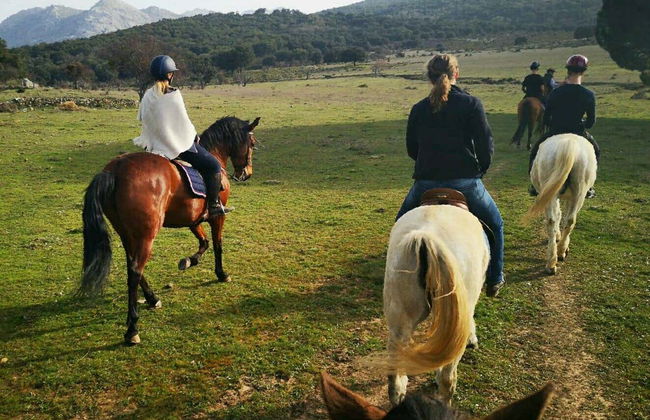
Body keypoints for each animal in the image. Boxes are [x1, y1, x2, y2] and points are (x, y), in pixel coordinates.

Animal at [80, 116, 260, 345]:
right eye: (252, 144)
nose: (246, 174)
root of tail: (115, 169)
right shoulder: (217, 215)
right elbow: (217, 244)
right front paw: (221, 274)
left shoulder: (193, 218)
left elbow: (203, 241)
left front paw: (190, 260)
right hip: (146, 235)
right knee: (135, 270)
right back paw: (133, 328)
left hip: (127, 233)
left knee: (132, 265)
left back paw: (152, 299)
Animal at [525, 134, 597, 275]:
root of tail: (568, 144)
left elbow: (559, 215)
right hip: (577, 195)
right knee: (567, 220)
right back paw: (560, 253)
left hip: (555, 194)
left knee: (556, 220)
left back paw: (553, 260)